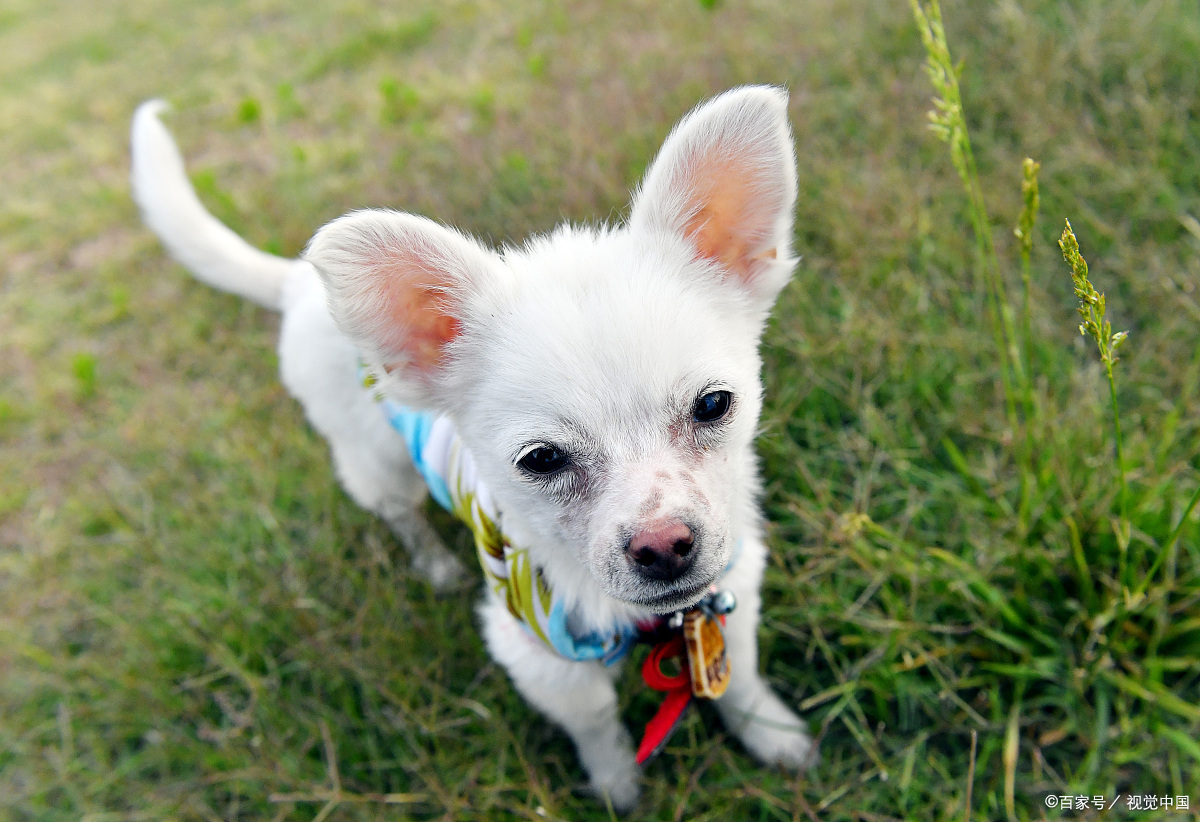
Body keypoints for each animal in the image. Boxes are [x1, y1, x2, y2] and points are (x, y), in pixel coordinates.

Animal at [131, 85, 811, 806]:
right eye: (541, 460)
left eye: (713, 405)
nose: (663, 546)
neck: (647, 619)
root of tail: (296, 284)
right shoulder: (540, 658)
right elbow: (597, 724)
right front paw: (616, 786)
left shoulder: (730, 590)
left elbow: (738, 677)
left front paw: (771, 734)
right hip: (378, 465)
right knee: (400, 514)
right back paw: (434, 564)